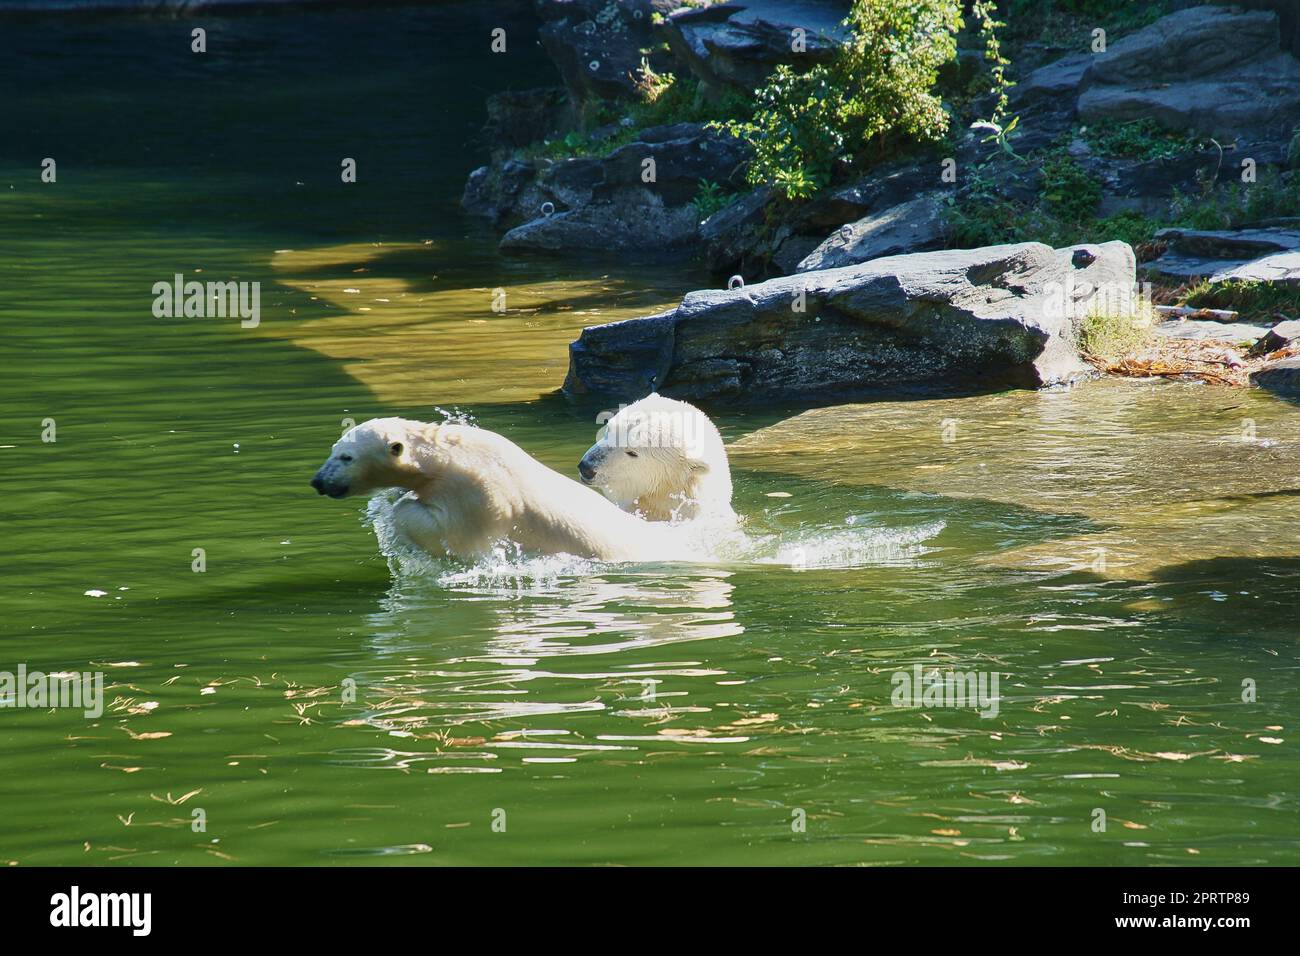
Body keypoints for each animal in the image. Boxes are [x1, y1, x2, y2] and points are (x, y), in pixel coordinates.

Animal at [308, 416, 696, 564]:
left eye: (345, 456)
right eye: (333, 449)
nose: (318, 481)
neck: (446, 455)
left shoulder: (479, 496)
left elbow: (451, 536)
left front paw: (397, 509)